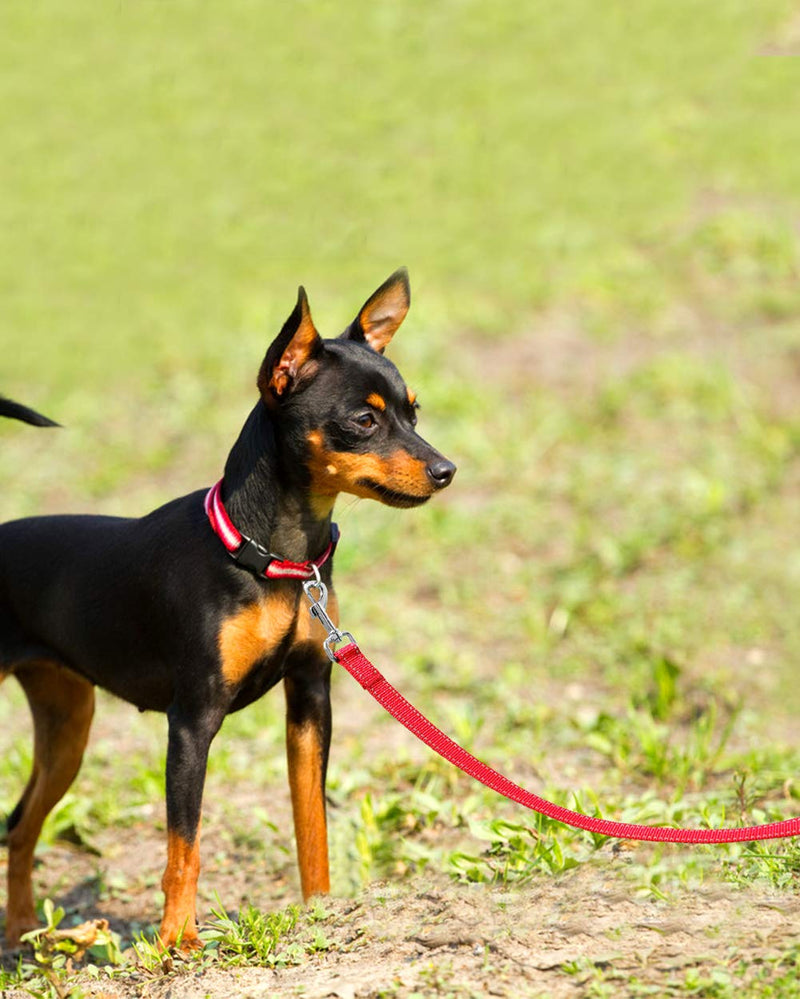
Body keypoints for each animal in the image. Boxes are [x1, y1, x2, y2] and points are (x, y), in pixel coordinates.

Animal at [1, 272, 456, 952]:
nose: (446, 470)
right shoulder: (192, 722)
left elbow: (310, 822)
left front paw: (319, 910)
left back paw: (22, 932)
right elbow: (183, 847)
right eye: (364, 419)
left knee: (21, 825)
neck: (273, 558)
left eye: (413, 413)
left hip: (67, 725)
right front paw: (174, 943)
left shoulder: (309, 701)